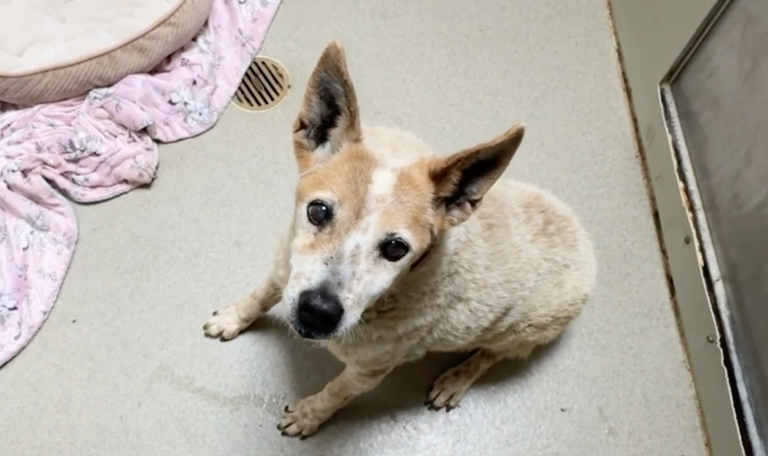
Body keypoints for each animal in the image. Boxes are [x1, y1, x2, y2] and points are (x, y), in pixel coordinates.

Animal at [201, 41, 596, 438]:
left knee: (490, 356)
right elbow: (259, 296)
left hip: (519, 332)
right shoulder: (285, 265)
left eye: (395, 248)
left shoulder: (368, 372)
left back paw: (456, 379)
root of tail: (585, 242)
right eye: (318, 212)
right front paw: (233, 318)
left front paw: (310, 415)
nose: (319, 311)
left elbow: (335, 392)